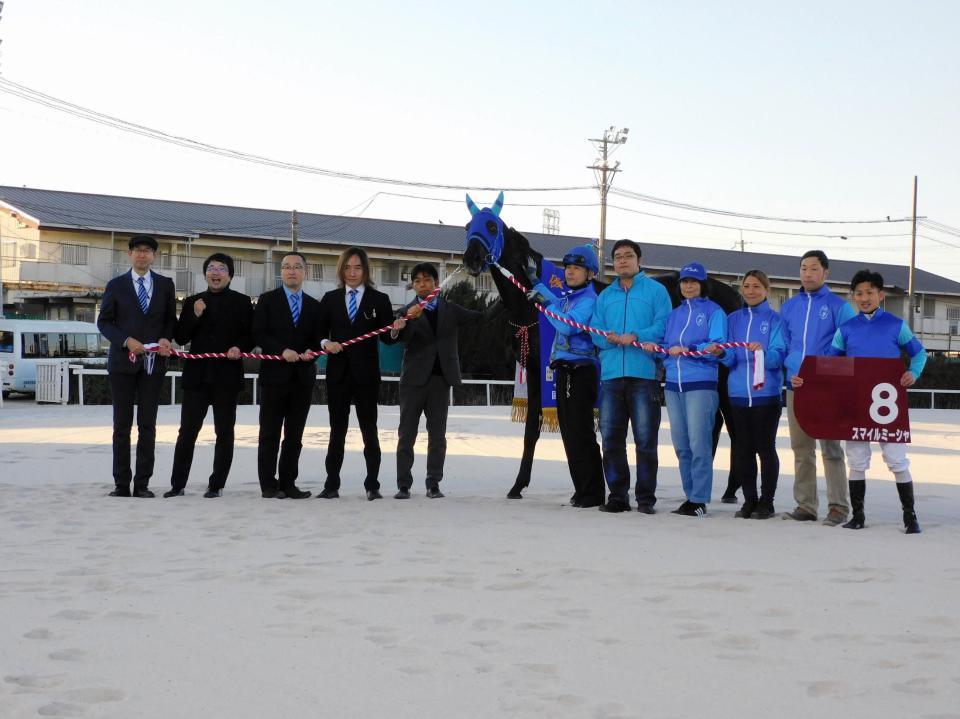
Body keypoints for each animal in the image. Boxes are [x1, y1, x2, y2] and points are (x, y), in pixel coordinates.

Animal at [464, 193, 744, 500]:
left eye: (491, 227)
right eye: (468, 226)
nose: (471, 258)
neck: (535, 308)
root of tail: (736, 296)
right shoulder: (538, 373)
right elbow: (532, 431)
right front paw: (517, 486)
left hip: (724, 376)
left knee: (732, 425)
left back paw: (730, 489)